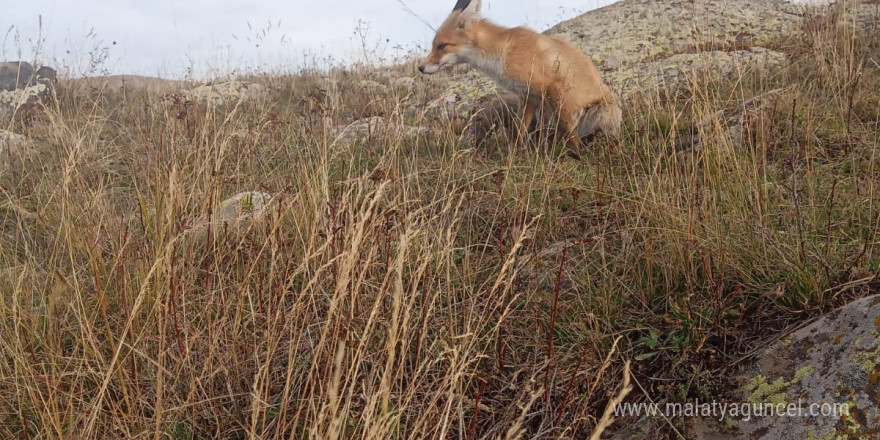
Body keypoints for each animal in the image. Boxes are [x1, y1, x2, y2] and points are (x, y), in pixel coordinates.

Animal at [418, 0, 620, 156]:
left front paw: (575, 155)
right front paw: (514, 155)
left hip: (599, 113)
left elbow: (567, 128)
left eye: (442, 45)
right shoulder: (528, 96)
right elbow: (519, 131)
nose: (420, 68)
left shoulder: (552, 86)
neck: (502, 54)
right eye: (434, 45)